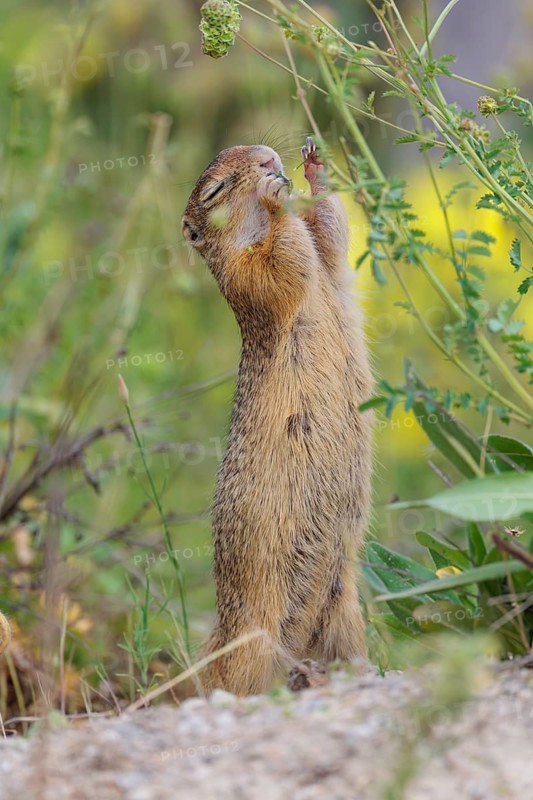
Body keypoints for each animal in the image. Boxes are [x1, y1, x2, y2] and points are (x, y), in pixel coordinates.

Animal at [182, 137, 373, 695]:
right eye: (215, 190)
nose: (267, 157)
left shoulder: (325, 253)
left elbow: (329, 231)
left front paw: (315, 170)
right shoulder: (246, 277)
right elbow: (278, 265)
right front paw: (272, 197)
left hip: (344, 609)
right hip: (257, 635)